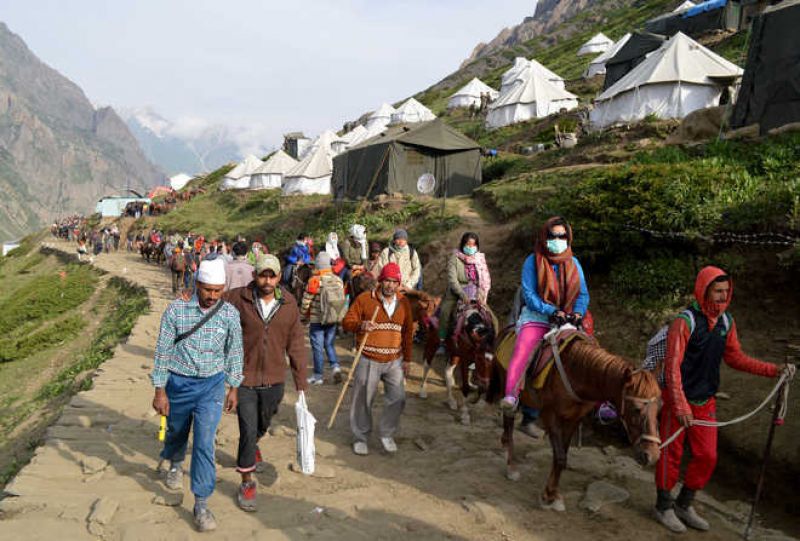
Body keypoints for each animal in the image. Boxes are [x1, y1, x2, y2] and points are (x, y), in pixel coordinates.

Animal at [488, 324, 664, 510]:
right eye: (637, 409)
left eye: (660, 408)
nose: (652, 455)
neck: (578, 370)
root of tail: (507, 329)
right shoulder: (550, 415)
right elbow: (560, 457)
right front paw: (548, 496)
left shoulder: (573, 418)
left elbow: (563, 454)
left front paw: (554, 493)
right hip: (508, 385)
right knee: (509, 420)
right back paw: (511, 466)